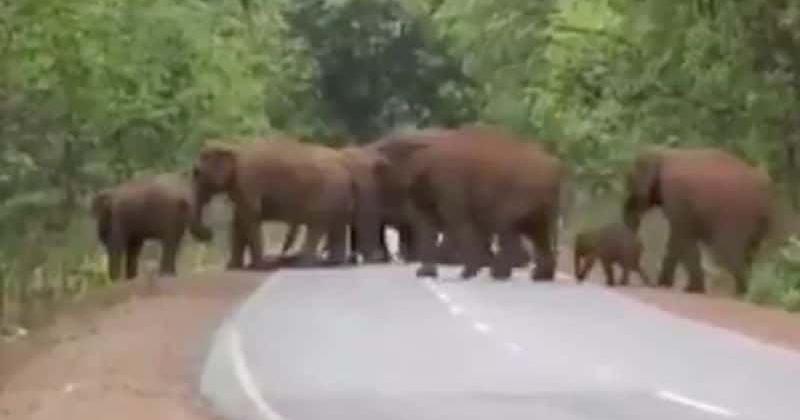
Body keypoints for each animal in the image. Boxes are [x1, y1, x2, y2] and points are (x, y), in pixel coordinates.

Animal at [374, 124, 564, 282]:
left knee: (507, 227)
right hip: (540, 201)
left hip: (520, 193)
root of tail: (555, 167)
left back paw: (499, 274)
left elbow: (457, 222)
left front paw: (467, 273)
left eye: (382, 168)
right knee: (538, 232)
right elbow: (428, 225)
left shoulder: (448, 183)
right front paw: (424, 273)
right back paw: (539, 276)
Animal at [620, 147, 772, 296]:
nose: (652, 284)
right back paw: (744, 292)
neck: (663, 153)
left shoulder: (676, 197)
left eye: (630, 183)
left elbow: (679, 237)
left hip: (735, 214)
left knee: (727, 254)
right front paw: (686, 288)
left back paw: (740, 294)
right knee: (749, 252)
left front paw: (679, 287)